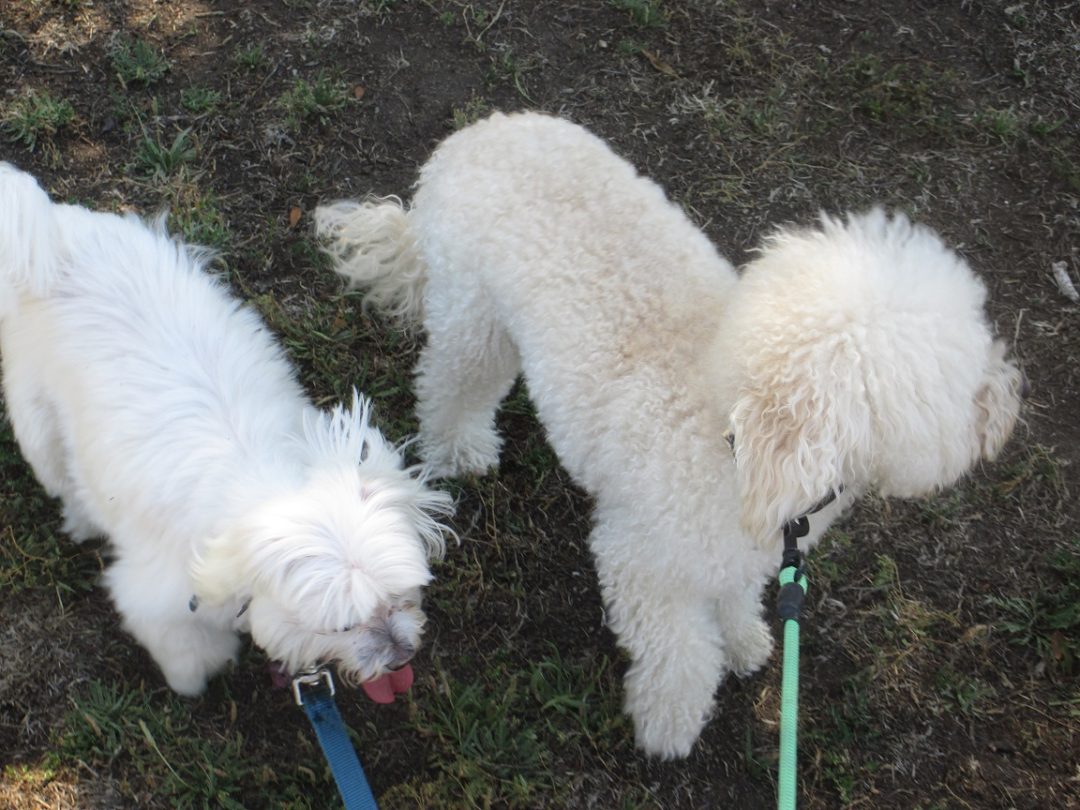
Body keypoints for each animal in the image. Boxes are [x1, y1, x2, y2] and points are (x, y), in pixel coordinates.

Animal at [0, 163, 453, 699]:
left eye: (401, 596)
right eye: (341, 626)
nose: (401, 655)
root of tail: (50, 239)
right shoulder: (160, 602)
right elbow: (186, 651)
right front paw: (195, 681)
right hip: (36, 415)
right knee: (59, 472)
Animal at [315, 111, 1023, 760]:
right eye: (956, 385)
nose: (1009, 398)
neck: (733, 440)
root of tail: (471, 134)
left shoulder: (741, 552)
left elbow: (735, 598)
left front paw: (743, 640)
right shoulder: (643, 562)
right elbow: (681, 654)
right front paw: (670, 724)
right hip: (476, 323)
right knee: (449, 385)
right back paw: (457, 449)